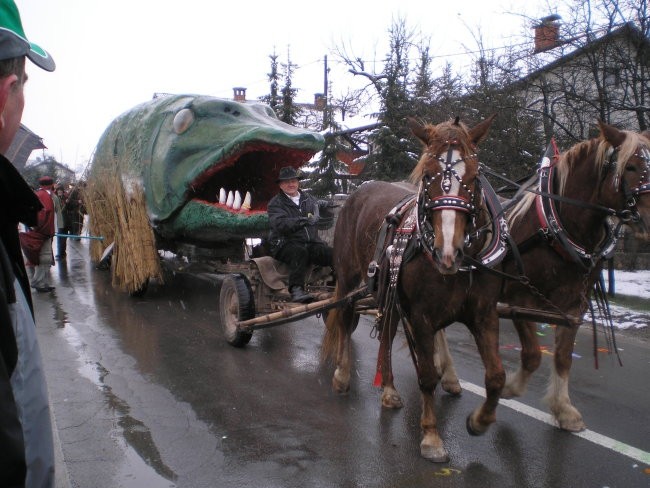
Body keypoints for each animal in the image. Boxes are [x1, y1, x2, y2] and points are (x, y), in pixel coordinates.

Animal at [320, 115, 502, 462]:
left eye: (474, 177)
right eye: (428, 174)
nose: (448, 252)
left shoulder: (484, 316)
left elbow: (496, 377)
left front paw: (480, 421)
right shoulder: (422, 317)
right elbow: (427, 375)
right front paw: (431, 436)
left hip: (387, 293)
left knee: (387, 334)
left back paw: (389, 389)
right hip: (349, 279)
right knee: (345, 320)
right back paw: (342, 374)